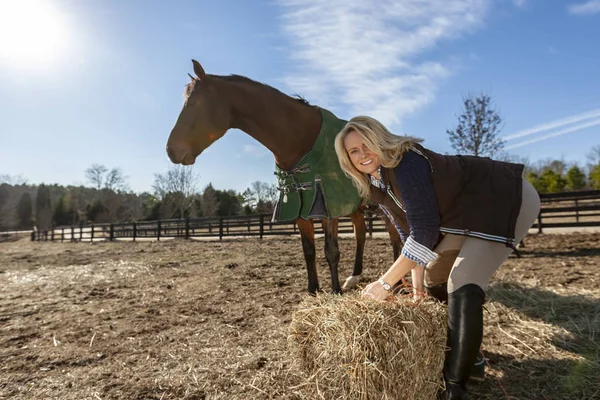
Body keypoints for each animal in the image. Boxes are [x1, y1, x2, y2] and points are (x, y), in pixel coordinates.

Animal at [164, 59, 400, 294]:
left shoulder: (328, 207)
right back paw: (354, 277)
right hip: (356, 206)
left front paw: (335, 291)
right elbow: (309, 250)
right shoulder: (300, 208)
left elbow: (331, 250)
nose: (171, 150)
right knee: (361, 232)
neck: (300, 137)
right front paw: (313, 290)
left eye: (194, 103)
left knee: (394, 232)